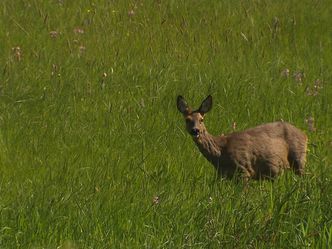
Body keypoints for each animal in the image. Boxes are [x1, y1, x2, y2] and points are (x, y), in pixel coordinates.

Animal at [178, 94, 308, 180]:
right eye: (187, 120)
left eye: (201, 119)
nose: (195, 130)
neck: (220, 154)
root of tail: (304, 134)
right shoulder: (222, 175)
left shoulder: (244, 170)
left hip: (299, 157)